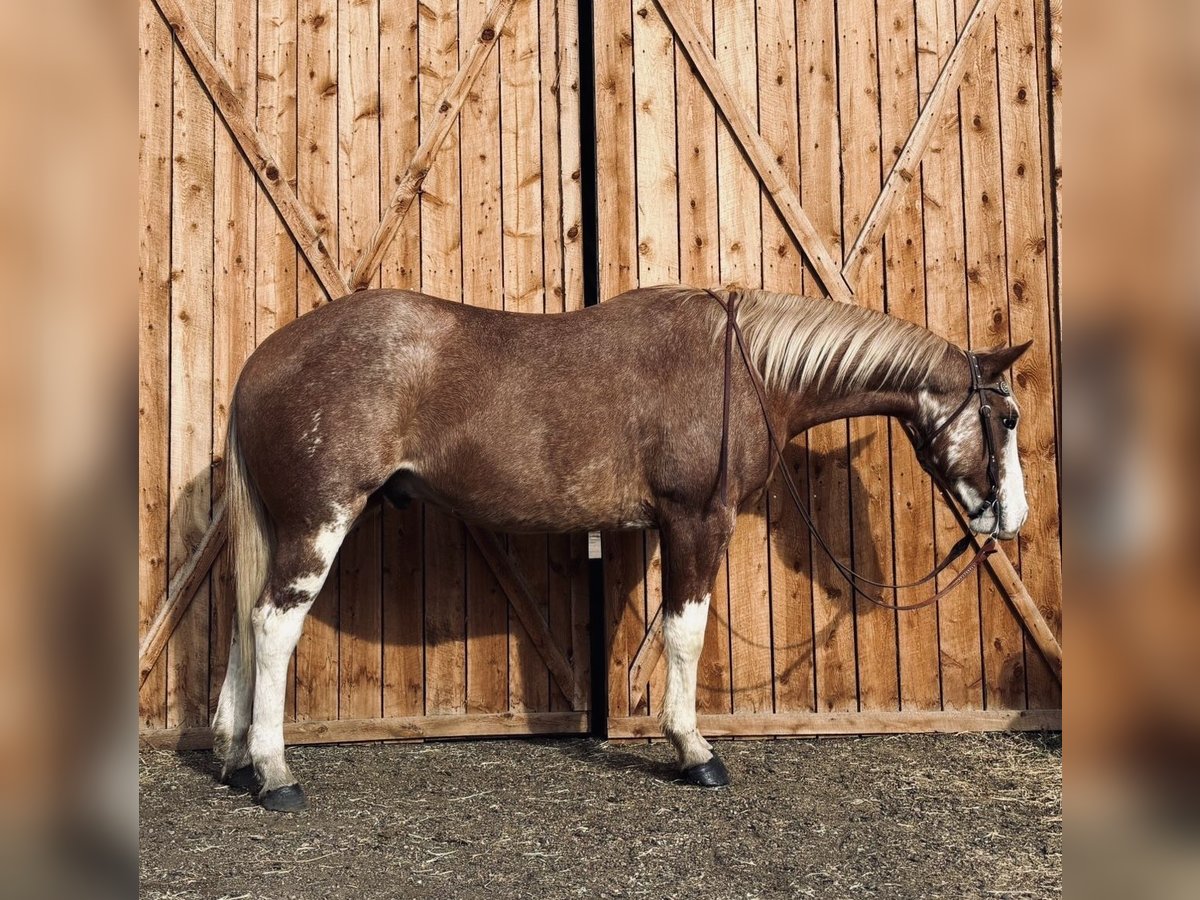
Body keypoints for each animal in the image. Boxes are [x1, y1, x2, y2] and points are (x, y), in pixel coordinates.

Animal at [212, 285, 1030, 811]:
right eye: (1008, 418)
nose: (1012, 519)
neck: (742, 369)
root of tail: (261, 363)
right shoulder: (697, 520)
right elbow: (687, 633)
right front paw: (694, 752)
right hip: (318, 523)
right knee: (272, 626)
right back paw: (275, 773)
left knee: (244, 626)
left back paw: (233, 756)